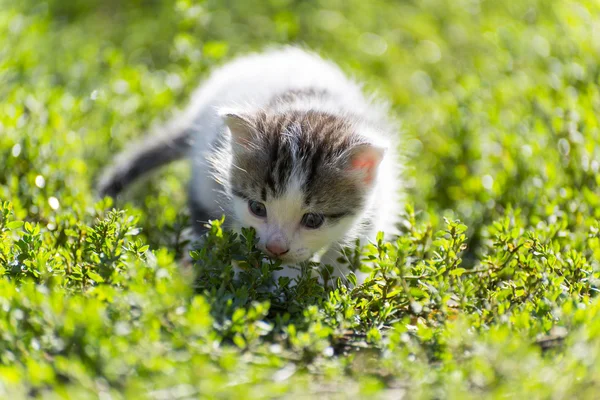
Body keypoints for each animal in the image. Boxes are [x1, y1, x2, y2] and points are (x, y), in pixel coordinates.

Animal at [96, 47, 400, 282]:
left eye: (313, 220)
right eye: (257, 208)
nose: (275, 247)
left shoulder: (377, 204)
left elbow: (350, 250)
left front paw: (334, 287)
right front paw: (287, 289)